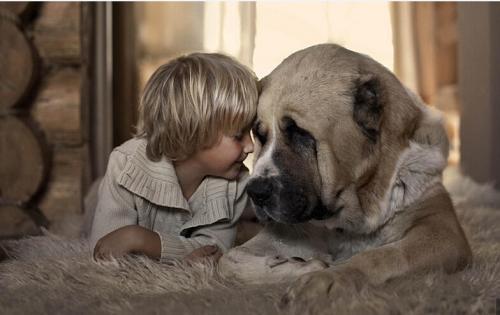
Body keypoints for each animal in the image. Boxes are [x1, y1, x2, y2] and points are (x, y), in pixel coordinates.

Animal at [220, 43, 472, 312]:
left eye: (300, 133)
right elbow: (228, 261)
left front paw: (329, 277)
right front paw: (304, 266)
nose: (255, 191)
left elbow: (383, 255)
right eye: (260, 135)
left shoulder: (442, 231)